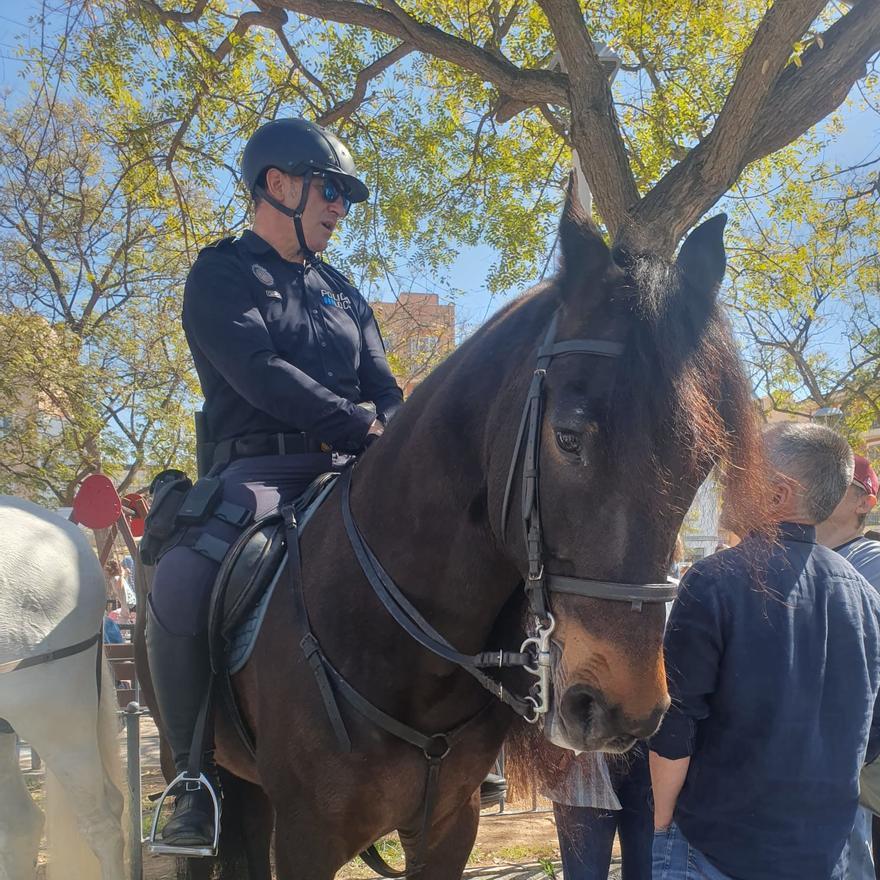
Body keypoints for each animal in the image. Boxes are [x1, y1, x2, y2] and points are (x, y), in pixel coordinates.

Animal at [138, 201, 764, 880]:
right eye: (568, 437)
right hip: (193, 762)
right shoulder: (306, 840)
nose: (625, 709)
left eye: (703, 461)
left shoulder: (446, 827)